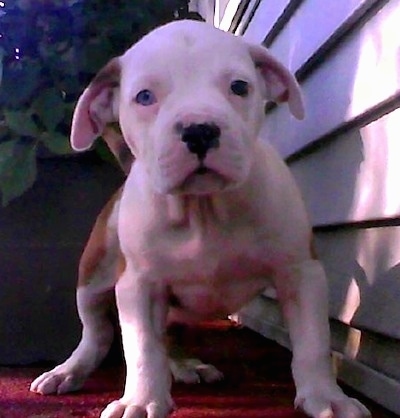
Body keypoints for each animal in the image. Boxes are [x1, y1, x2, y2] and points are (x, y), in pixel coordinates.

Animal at [30, 20, 368, 418]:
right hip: (93, 274)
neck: (204, 208)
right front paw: (141, 400)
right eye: (145, 96)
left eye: (240, 87)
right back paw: (70, 370)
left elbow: (312, 341)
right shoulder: (138, 285)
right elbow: (142, 346)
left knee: (167, 334)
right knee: (97, 331)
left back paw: (185, 365)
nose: (199, 129)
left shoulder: (300, 272)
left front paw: (326, 397)